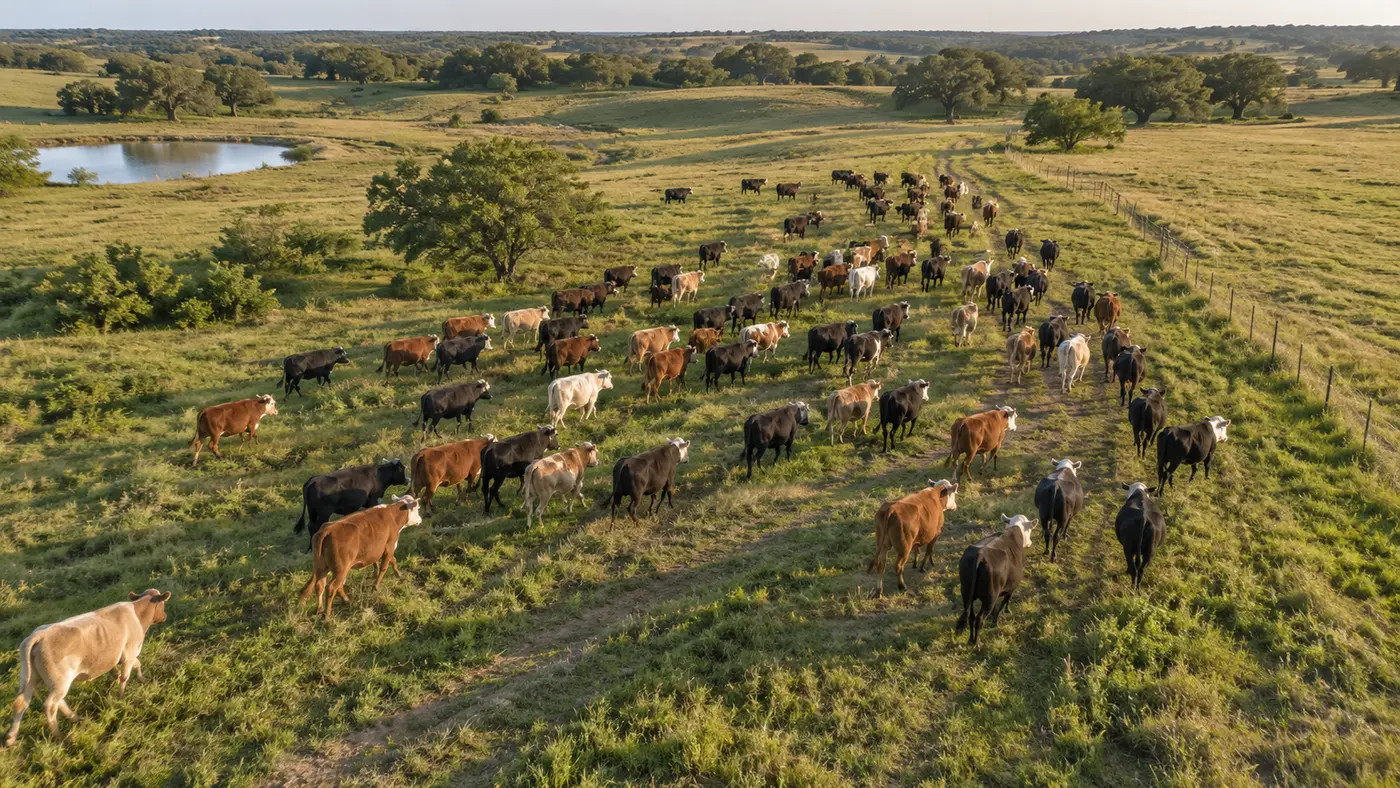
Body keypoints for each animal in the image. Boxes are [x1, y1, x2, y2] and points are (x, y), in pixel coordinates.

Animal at [6, 589, 171, 746]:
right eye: (163, 604)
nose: (165, 616)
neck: (137, 613)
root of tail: (40, 634)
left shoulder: (119, 657)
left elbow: (130, 668)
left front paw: (139, 680)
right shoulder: (130, 653)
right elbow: (126, 675)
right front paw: (120, 696)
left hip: (31, 678)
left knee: (23, 703)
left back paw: (12, 737)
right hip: (60, 681)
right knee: (50, 706)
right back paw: (61, 736)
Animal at [955, 514, 1035, 646]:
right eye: (1030, 529)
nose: (1030, 543)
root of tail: (980, 554)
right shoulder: (1012, 586)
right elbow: (1004, 602)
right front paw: (997, 620)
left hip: (967, 593)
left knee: (971, 616)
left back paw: (971, 640)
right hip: (989, 598)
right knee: (979, 619)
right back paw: (977, 643)